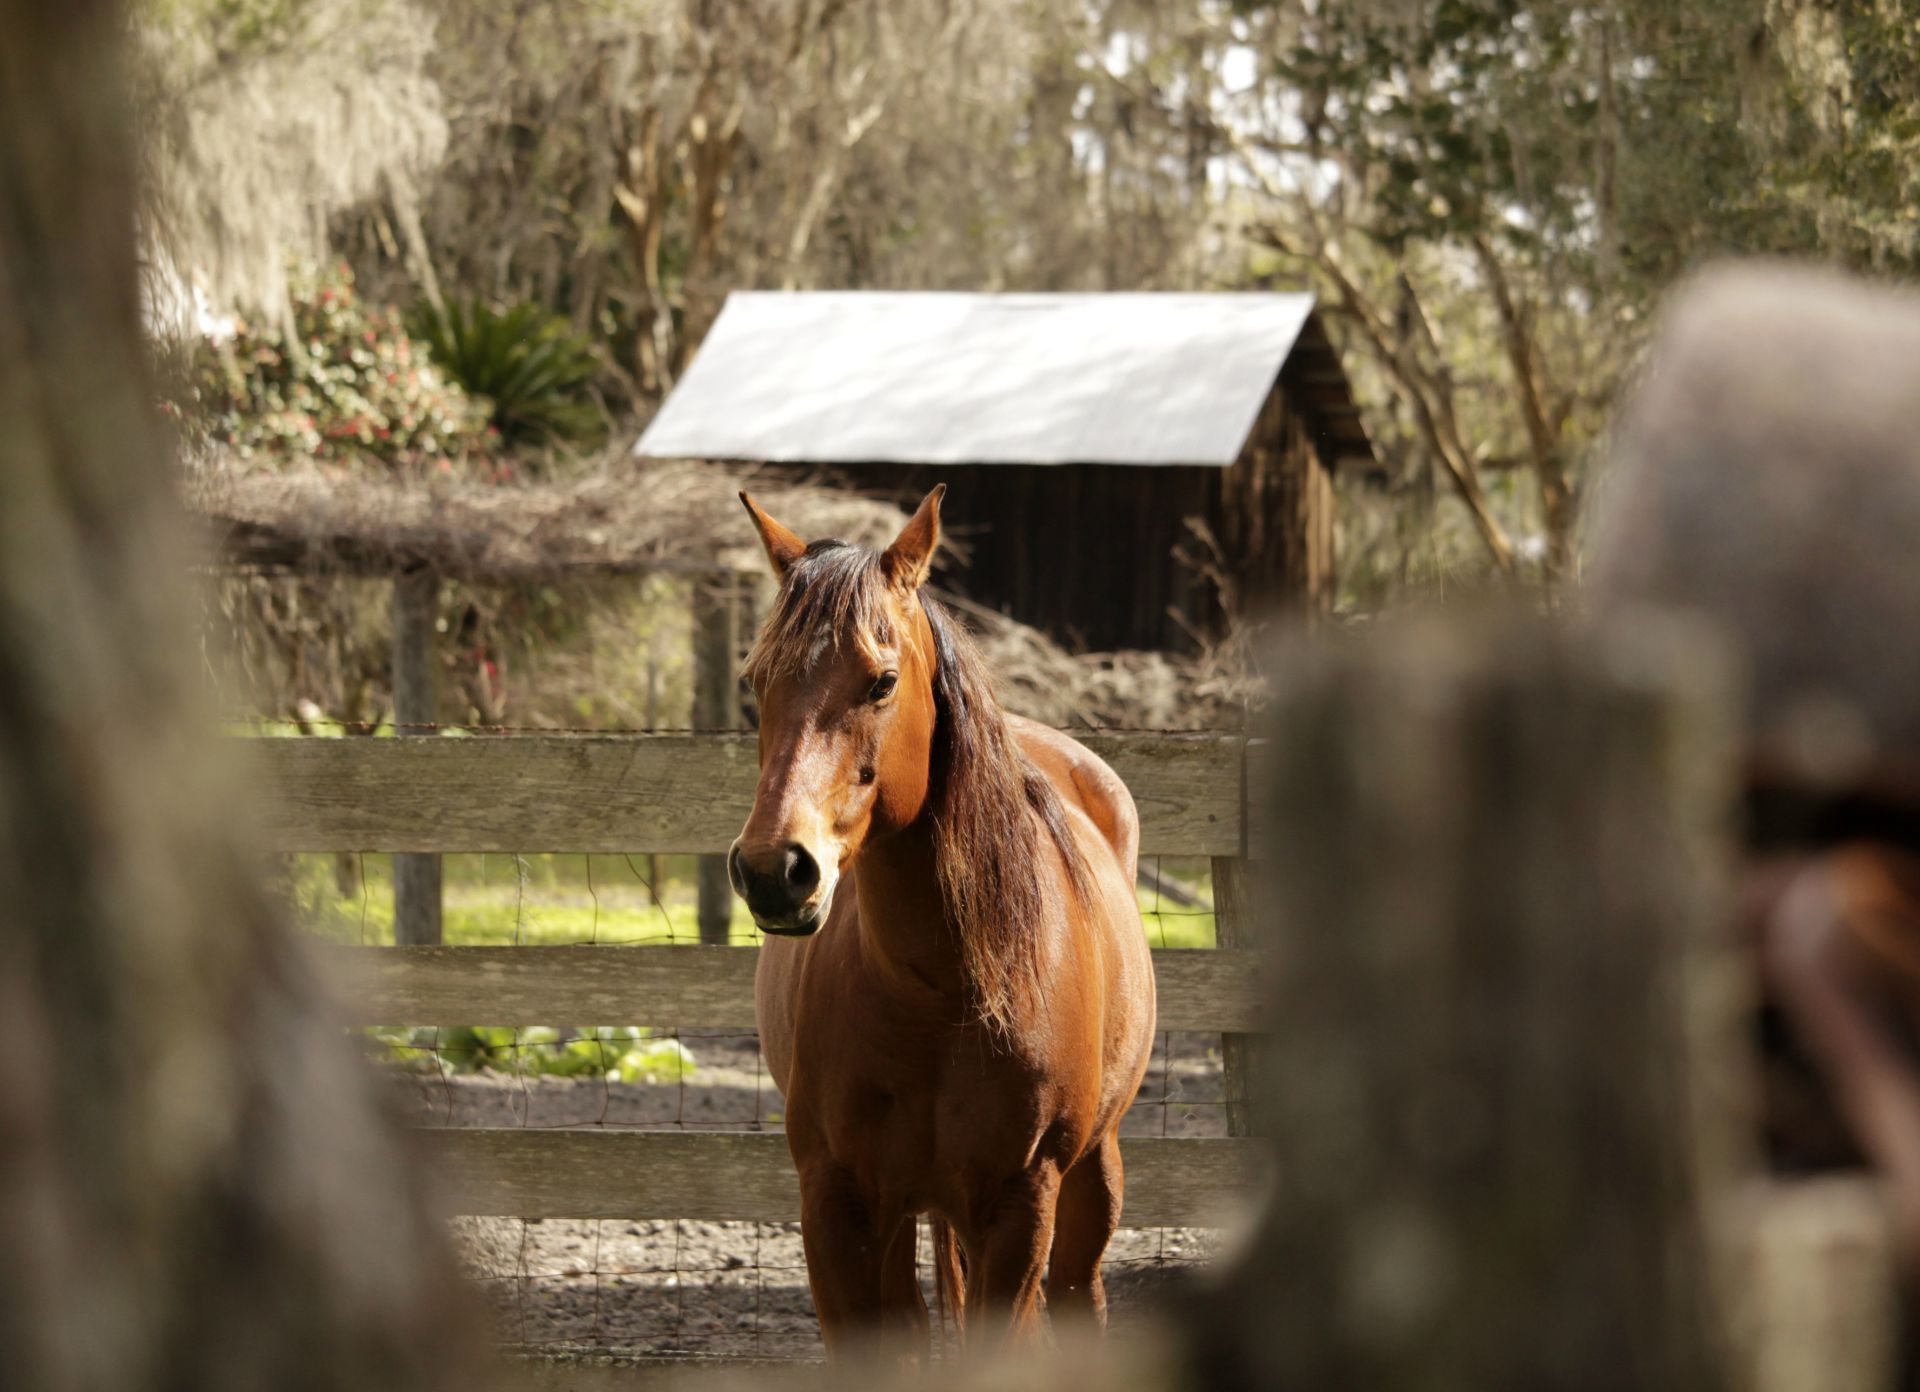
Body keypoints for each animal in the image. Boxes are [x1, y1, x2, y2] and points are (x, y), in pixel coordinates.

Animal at [728, 485, 1156, 1363]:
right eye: (756, 680)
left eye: (882, 680)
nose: (774, 870)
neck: (936, 992)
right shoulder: (837, 1209)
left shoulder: (1020, 1205)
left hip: (1089, 1177)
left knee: (1078, 1294)